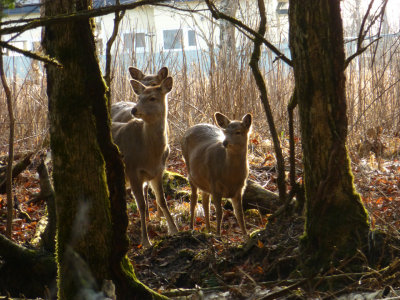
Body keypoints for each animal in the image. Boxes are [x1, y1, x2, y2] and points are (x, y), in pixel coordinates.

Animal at [110, 76, 177, 247]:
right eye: (139, 97)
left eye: (152, 98)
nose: (134, 110)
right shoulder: (132, 170)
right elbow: (141, 205)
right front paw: (146, 241)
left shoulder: (158, 172)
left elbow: (162, 200)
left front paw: (174, 229)